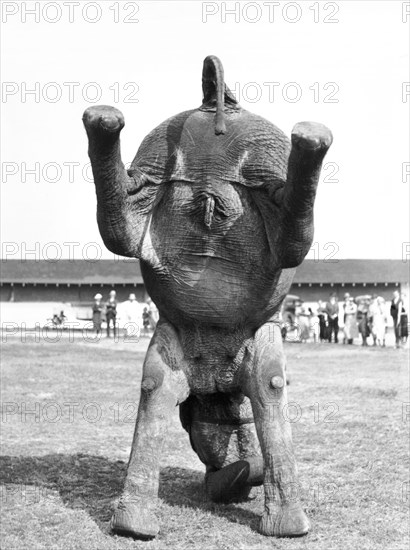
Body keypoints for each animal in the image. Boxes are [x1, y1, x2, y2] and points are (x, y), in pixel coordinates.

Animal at [82, 55, 334, 544]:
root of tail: (220, 107)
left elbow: (263, 392)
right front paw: (237, 474)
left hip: (255, 159)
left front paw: (241, 475)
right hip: (163, 159)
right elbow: (179, 405)